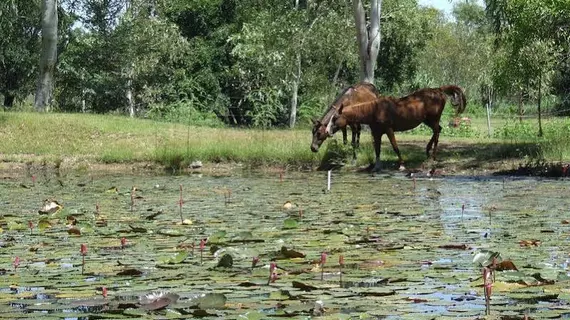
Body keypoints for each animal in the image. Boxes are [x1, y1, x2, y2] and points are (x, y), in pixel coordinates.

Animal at [326, 84, 464, 171]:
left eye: (335, 118)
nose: (327, 131)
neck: (374, 110)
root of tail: (438, 90)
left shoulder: (388, 130)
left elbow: (395, 147)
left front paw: (401, 164)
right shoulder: (376, 133)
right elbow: (377, 149)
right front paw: (377, 166)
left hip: (433, 119)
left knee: (436, 132)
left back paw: (433, 156)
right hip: (428, 120)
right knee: (438, 130)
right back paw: (428, 151)